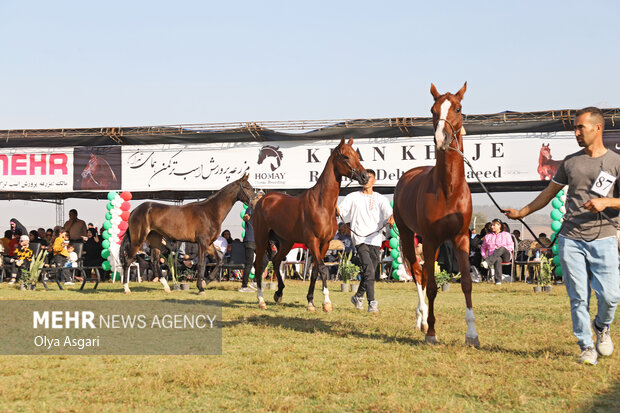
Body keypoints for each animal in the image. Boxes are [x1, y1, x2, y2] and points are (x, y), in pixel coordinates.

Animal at [120, 172, 256, 294]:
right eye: (247, 187)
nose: (255, 201)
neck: (210, 212)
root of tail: (135, 211)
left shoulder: (209, 243)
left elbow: (219, 261)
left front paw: (206, 282)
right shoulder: (202, 243)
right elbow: (201, 264)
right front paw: (201, 288)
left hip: (155, 240)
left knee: (154, 262)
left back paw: (166, 287)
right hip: (138, 240)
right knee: (128, 261)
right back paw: (126, 288)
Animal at [252, 137, 368, 310]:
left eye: (357, 155)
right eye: (346, 157)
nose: (365, 176)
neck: (321, 204)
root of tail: (263, 200)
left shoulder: (325, 243)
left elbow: (315, 271)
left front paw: (311, 301)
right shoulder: (312, 241)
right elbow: (322, 269)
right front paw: (326, 302)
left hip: (286, 241)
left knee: (277, 260)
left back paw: (279, 293)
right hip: (261, 239)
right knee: (259, 265)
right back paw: (261, 300)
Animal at [392, 83, 480, 348]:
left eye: (458, 108)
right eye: (432, 110)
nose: (442, 139)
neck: (448, 189)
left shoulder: (461, 238)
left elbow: (466, 283)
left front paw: (472, 334)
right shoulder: (429, 240)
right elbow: (431, 286)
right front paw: (431, 331)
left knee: (421, 274)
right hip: (410, 237)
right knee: (417, 272)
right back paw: (421, 320)